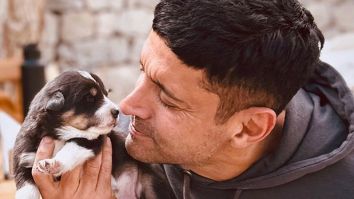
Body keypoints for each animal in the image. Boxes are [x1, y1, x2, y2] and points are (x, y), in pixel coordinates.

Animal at [13, 70, 174, 199]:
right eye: (90, 98)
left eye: (106, 94)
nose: (117, 111)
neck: (58, 134)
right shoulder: (23, 160)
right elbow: (26, 188)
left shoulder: (91, 141)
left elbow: (71, 148)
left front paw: (52, 163)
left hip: (151, 183)